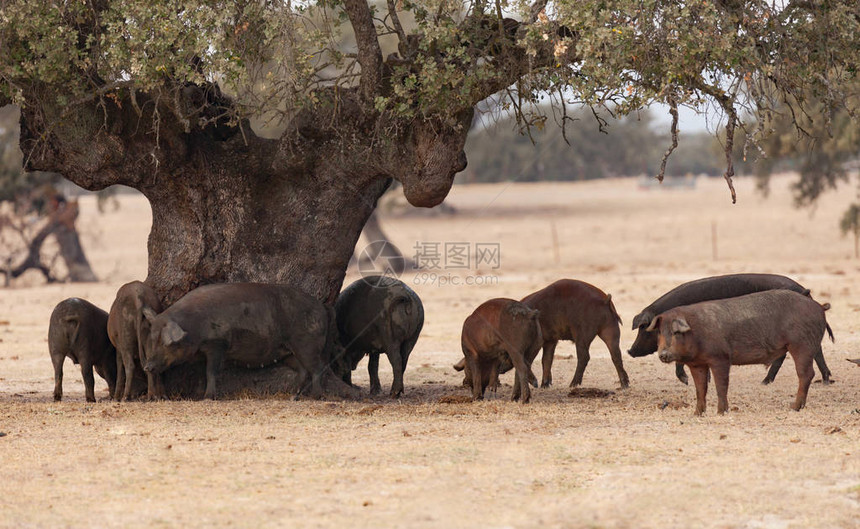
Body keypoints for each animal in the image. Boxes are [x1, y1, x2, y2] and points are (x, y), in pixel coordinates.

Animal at [652, 288, 832, 416]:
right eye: (660, 332)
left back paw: (794, 407)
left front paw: (721, 412)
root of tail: (819, 307)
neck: (696, 333)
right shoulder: (697, 364)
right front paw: (697, 414)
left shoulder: (721, 358)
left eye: (676, 332)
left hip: (801, 345)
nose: (663, 354)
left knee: (806, 374)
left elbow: (721, 385)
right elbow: (700, 388)